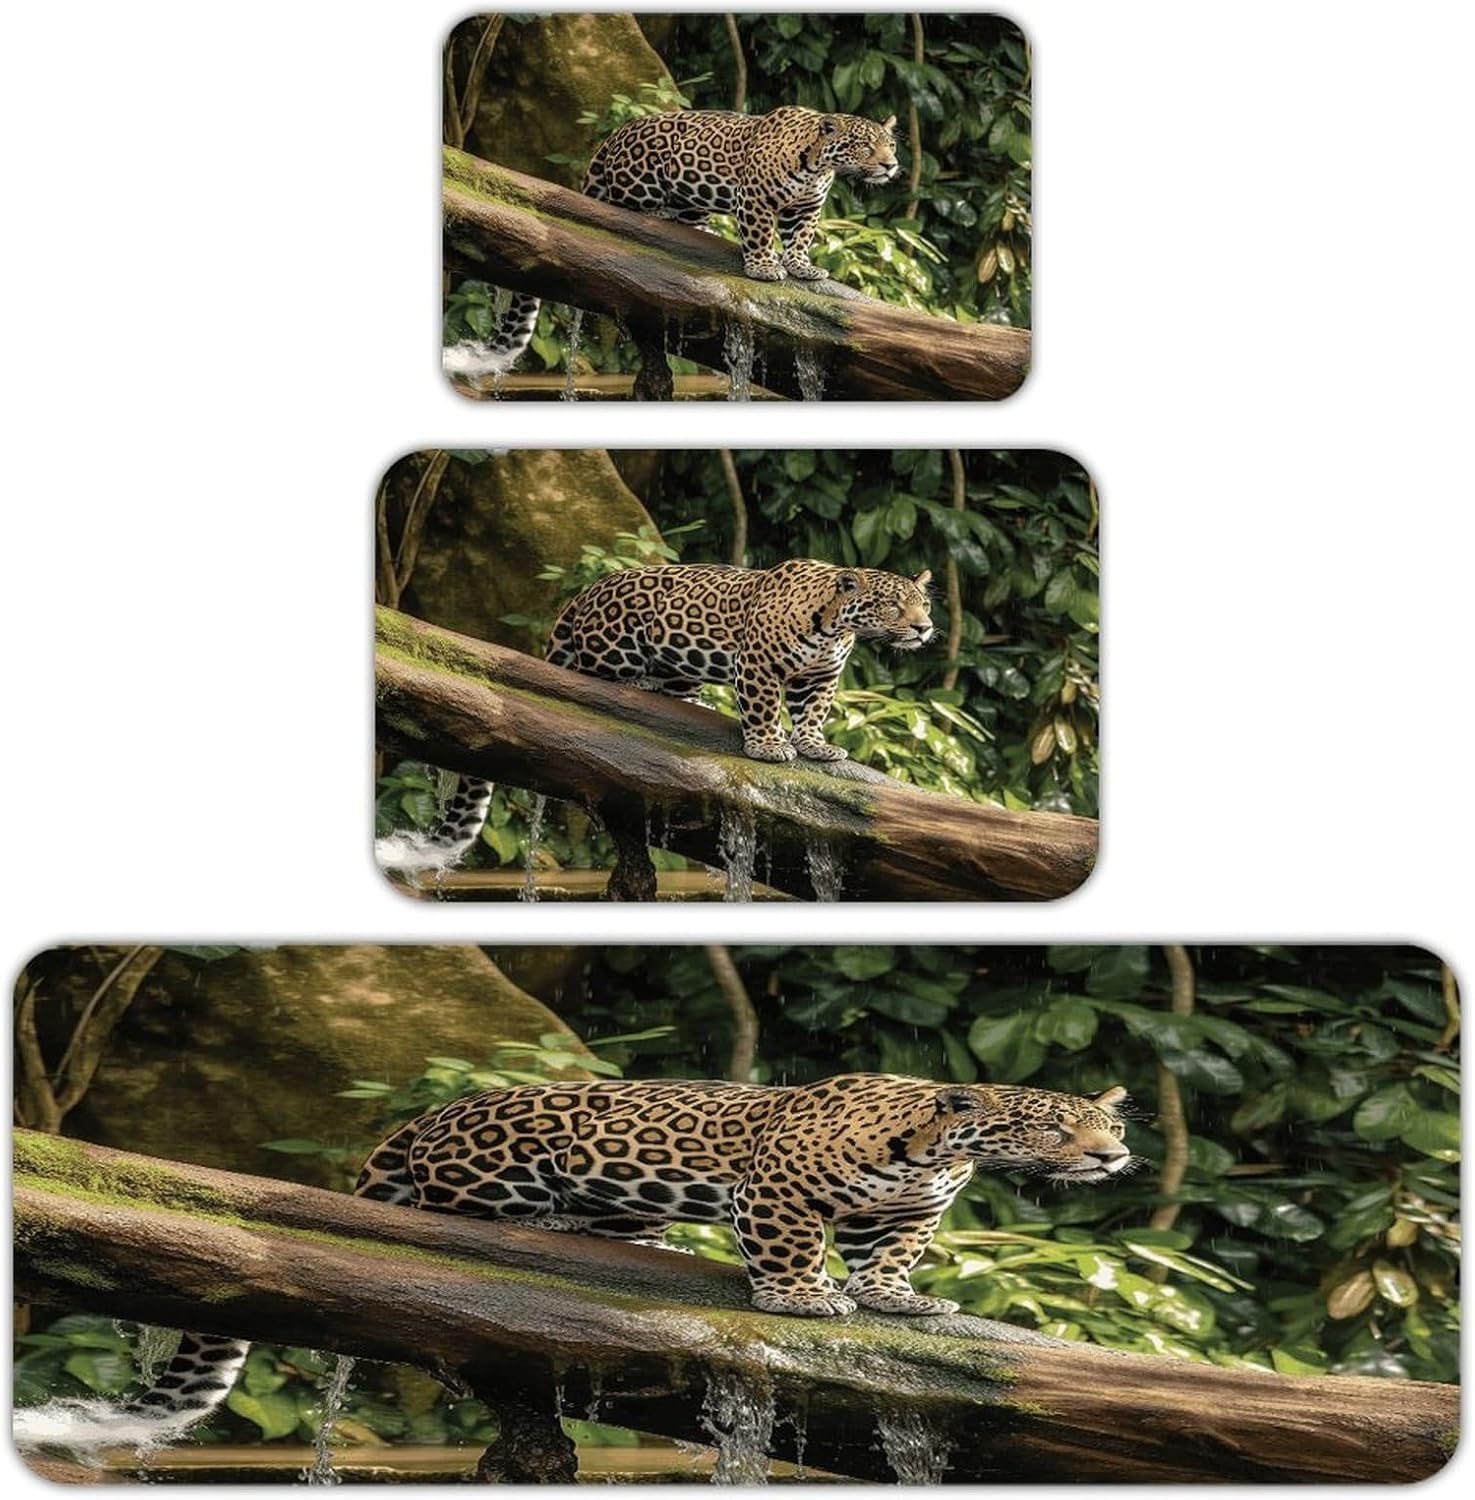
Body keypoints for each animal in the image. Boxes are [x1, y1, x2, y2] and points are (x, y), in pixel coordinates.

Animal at [15, 1075, 1129, 1452]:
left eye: (1102, 1123)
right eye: (1049, 1126)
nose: (1112, 1157)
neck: (940, 1146)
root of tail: (426, 1119)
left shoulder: (904, 1213)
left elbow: (889, 1256)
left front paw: (899, 1301)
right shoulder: (775, 1188)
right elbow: (787, 1249)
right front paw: (802, 1298)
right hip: (493, 1180)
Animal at [380, 559, 934, 872]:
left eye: (923, 604)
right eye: (891, 606)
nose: (925, 629)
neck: (834, 626)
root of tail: (583, 594)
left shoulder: (820, 677)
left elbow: (813, 713)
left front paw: (815, 745)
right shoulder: (756, 664)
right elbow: (762, 706)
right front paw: (767, 745)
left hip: (681, 665)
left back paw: (690, 703)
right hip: (618, 644)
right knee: (594, 675)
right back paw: (638, 687)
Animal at [443, 105, 900, 382]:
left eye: (890, 143)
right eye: (863, 145)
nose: (891, 165)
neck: (818, 163)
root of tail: (610, 139)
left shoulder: (806, 208)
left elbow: (800, 239)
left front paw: (803, 267)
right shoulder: (753, 198)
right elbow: (759, 234)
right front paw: (764, 267)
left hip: (691, 202)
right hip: (639, 185)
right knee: (619, 207)